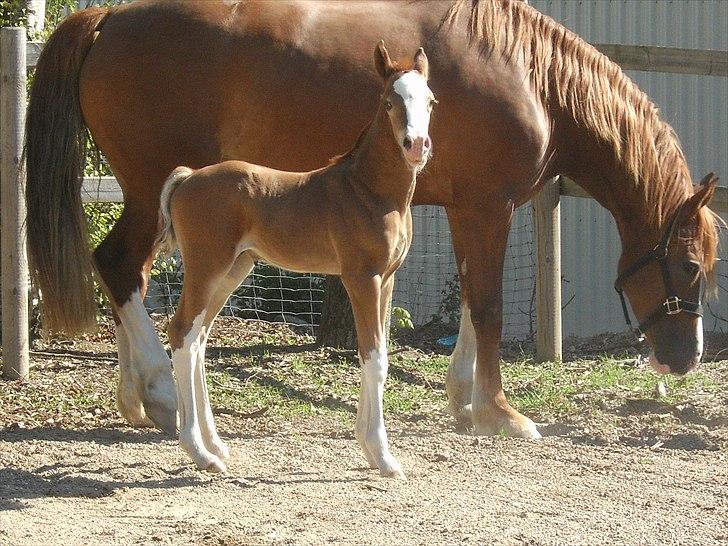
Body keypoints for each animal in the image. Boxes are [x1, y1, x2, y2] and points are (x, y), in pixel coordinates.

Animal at [156, 43, 436, 476]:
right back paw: (200, 452)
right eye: (390, 102)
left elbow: (380, 357)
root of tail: (188, 177)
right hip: (207, 266)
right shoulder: (362, 277)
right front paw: (383, 456)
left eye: (430, 101)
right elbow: (372, 357)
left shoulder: (387, 279)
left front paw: (368, 446)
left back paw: (215, 443)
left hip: (234, 270)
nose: (416, 145)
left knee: (197, 338)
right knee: (183, 335)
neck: (369, 191)